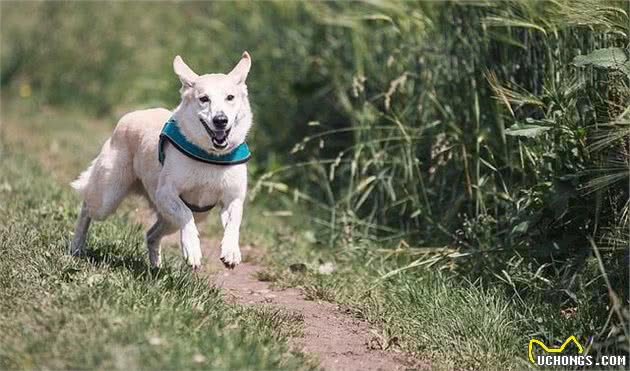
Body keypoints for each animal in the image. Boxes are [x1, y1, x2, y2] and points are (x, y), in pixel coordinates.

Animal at [69, 51, 254, 270]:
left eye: (230, 97)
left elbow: (234, 222)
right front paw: (192, 250)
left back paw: (156, 267)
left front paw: (231, 252)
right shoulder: (166, 193)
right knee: (87, 207)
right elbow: (185, 214)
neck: (210, 156)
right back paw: (76, 247)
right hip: (108, 197)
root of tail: (130, 116)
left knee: (151, 234)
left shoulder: (233, 198)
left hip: (182, 216)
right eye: (204, 99)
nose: (220, 120)